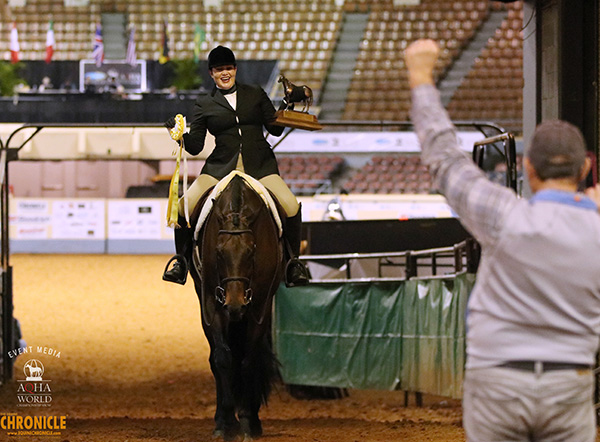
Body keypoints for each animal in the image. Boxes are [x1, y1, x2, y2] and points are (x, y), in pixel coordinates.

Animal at [191, 174, 288, 440]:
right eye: (218, 252)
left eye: (252, 251)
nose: (235, 304)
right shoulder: (211, 304)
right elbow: (223, 358)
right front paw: (225, 422)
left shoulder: (260, 306)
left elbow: (249, 359)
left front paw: (246, 421)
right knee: (216, 358)